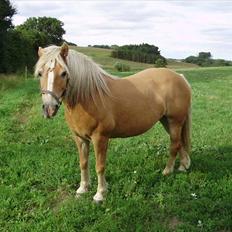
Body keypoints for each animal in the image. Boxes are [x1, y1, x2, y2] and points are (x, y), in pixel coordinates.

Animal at [35, 42, 191, 202]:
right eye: (40, 73)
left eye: (64, 73)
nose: (49, 108)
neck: (89, 96)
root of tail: (179, 77)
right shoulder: (80, 138)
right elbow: (83, 163)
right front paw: (82, 189)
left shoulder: (100, 138)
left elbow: (100, 166)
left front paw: (100, 194)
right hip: (167, 121)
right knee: (179, 142)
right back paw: (183, 166)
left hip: (175, 121)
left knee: (174, 145)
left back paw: (167, 171)